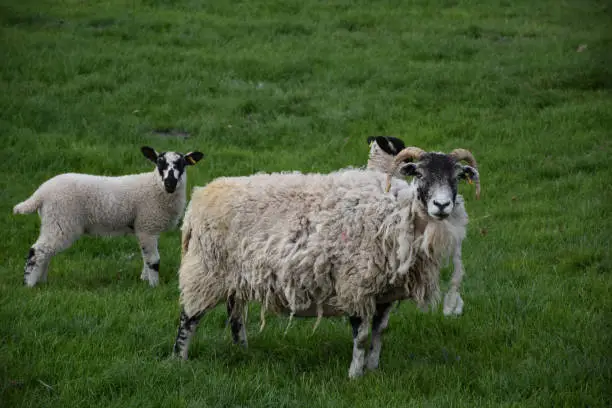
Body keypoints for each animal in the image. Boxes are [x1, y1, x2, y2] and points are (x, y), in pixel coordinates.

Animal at [13, 147, 204, 286]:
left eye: (182, 164)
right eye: (159, 163)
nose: (170, 183)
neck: (155, 187)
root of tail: (40, 193)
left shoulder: (146, 228)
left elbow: (145, 258)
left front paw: (144, 280)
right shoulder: (147, 226)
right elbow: (153, 260)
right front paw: (154, 286)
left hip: (52, 222)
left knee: (46, 253)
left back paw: (42, 281)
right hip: (61, 220)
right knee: (37, 251)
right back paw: (29, 284)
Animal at [173, 146, 482, 376]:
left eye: (456, 177)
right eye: (420, 174)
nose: (441, 205)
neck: (397, 216)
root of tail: (199, 198)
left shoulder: (385, 292)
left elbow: (379, 333)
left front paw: (373, 368)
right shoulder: (356, 283)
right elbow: (361, 335)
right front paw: (355, 375)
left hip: (235, 276)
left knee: (235, 315)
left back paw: (242, 350)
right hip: (205, 271)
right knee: (188, 318)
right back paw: (178, 360)